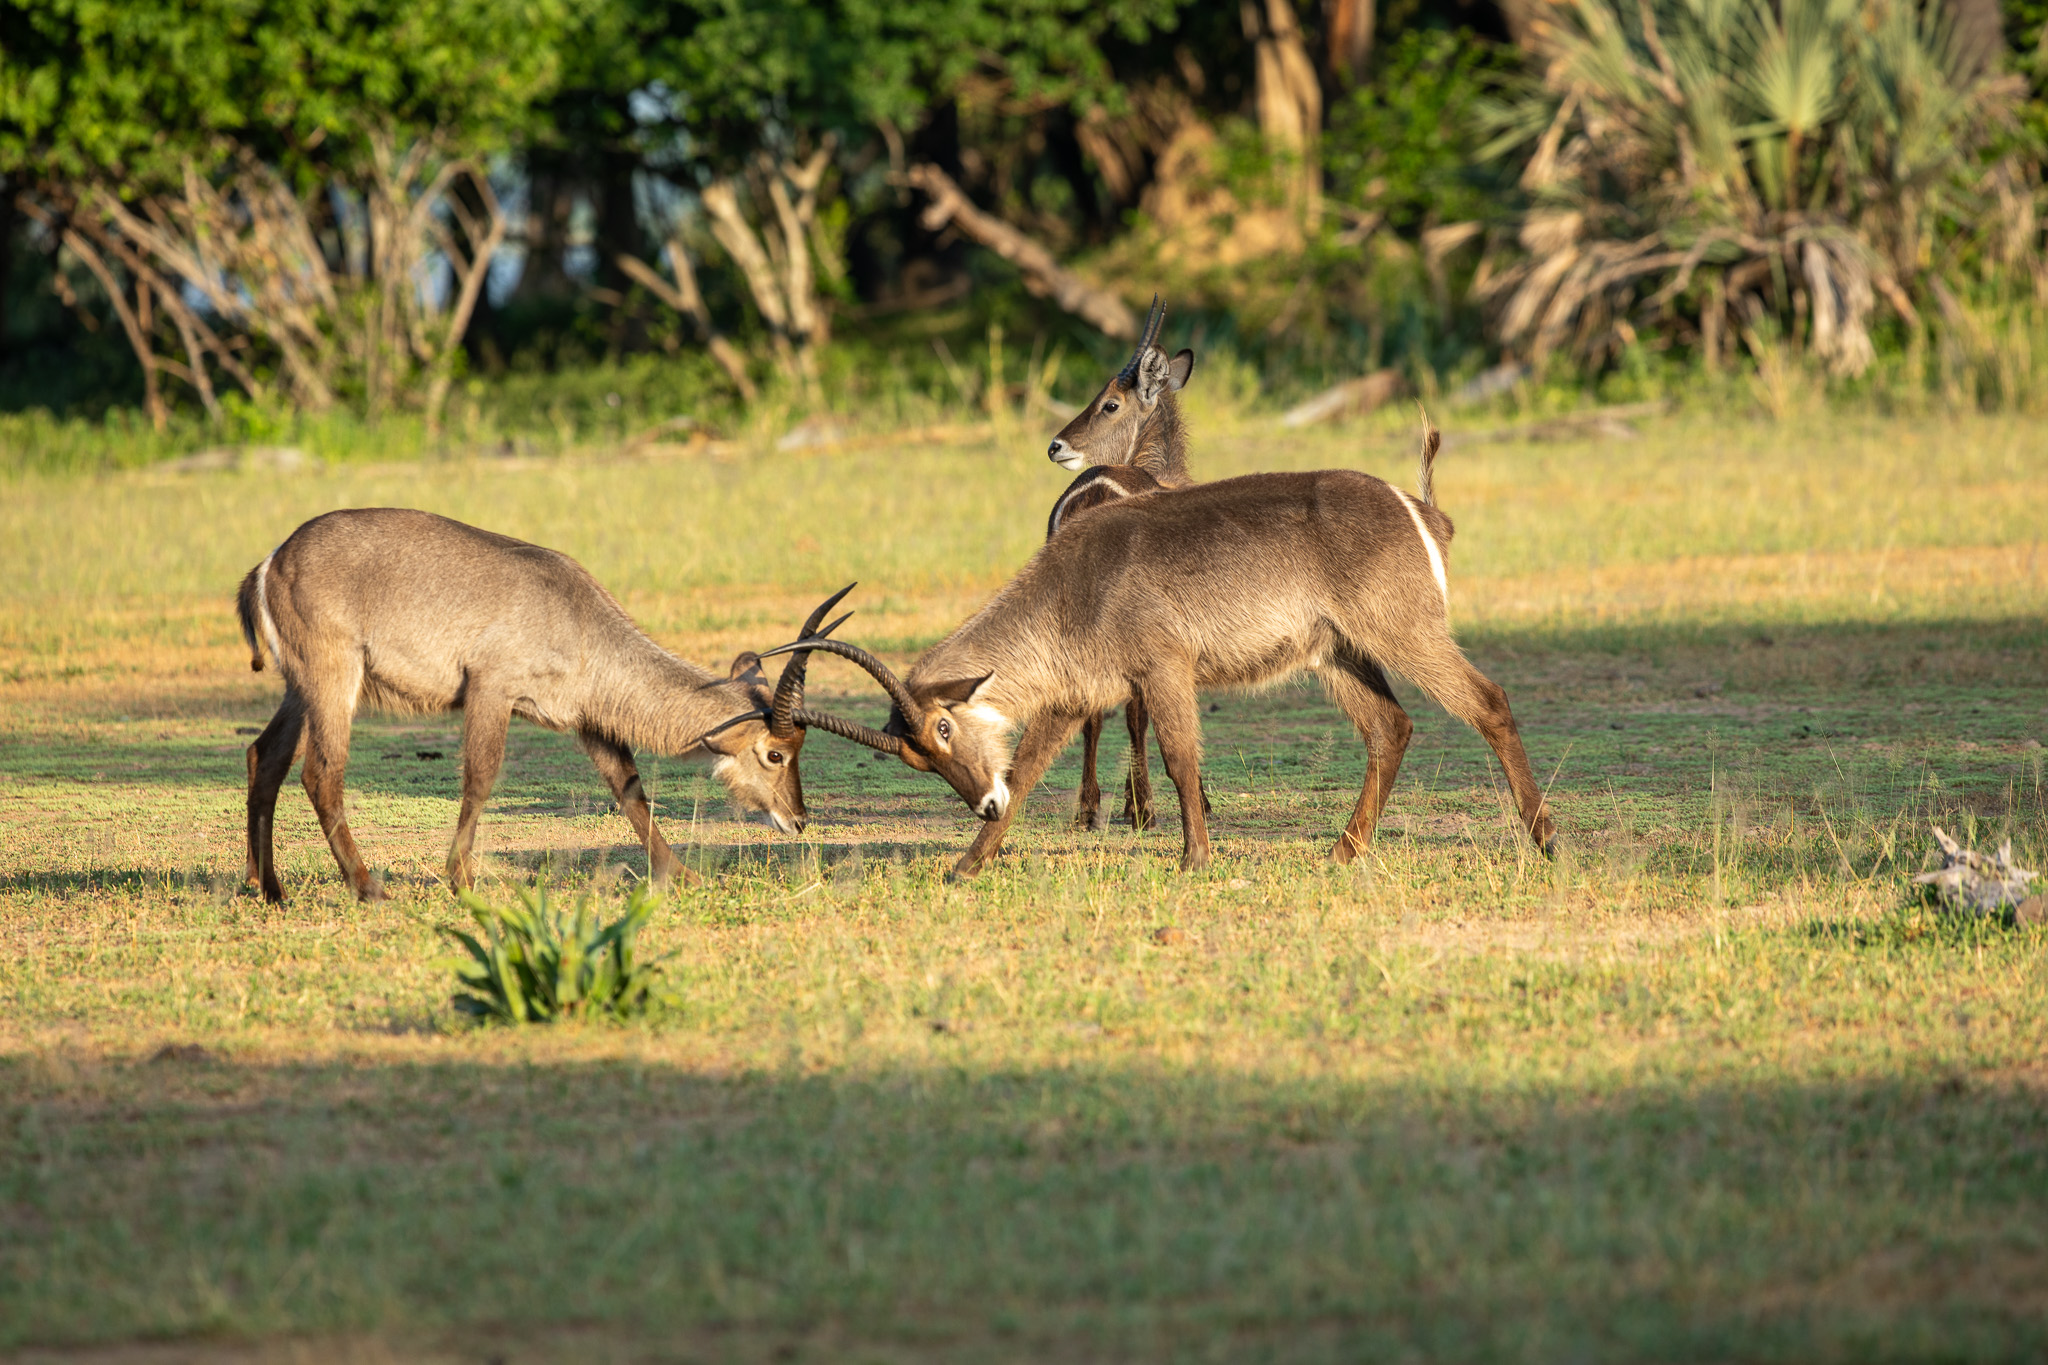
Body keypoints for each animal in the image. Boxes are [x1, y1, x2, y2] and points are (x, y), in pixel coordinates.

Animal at [237, 507, 864, 900]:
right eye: (776, 754)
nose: (798, 820)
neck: (577, 618)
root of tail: (272, 561)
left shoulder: (587, 720)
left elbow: (629, 789)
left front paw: (680, 875)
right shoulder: (491, 689)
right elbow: (480, 779)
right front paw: (461, 881)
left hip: (300, 688)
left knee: (263, 757)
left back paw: (269, 890)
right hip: (333, 678)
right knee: (320, 773)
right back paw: (368, 888)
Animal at [765, 417, 1548, 879]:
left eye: (944, 727)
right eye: (914, 756)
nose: (979, 805)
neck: (1074, 585)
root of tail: (1421, 510)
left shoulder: (1164, 667)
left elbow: (1180, 760)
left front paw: (1194, 857)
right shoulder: (1071, 695)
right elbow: (1026, 772)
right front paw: (968, 864)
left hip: (1403, 632)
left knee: (1489, 701)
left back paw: (1543, 838)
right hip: (1338, 652)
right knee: (1392, 726)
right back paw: (1343, 850)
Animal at [1048, 296, 1204, 834]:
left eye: (1109, 403)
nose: (1056, 445)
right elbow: (1145, 711)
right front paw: (1146, 805)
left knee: (1089, 703)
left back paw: (1087, 808)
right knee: (1130, 709)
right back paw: (1139, 806)